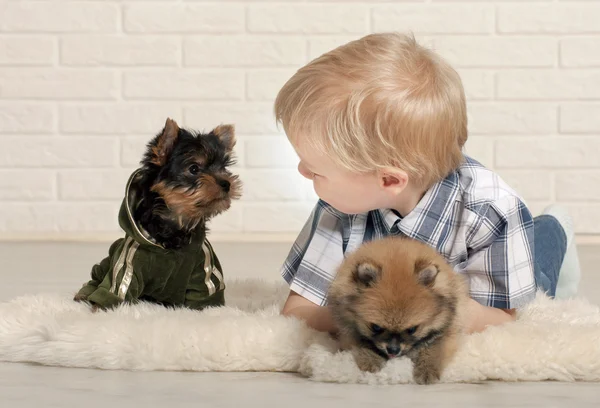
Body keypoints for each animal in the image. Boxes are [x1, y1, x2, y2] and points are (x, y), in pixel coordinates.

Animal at [75, 119, 241, 310]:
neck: (175, 224)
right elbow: (116, 291)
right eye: (194, 168)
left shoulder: (203, 266)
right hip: (106, 263)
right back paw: (83, 294)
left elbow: (205, 292)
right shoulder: (129, 264)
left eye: (223, 168)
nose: (226, 183)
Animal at [328, 237, 468, 384]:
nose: (393, 350)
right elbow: (364, 342)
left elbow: (435, 349)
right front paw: (370, 359)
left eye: (412, 329)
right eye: (376, 327)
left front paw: (427, 370)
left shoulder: (449, 327)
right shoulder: (349, 329)